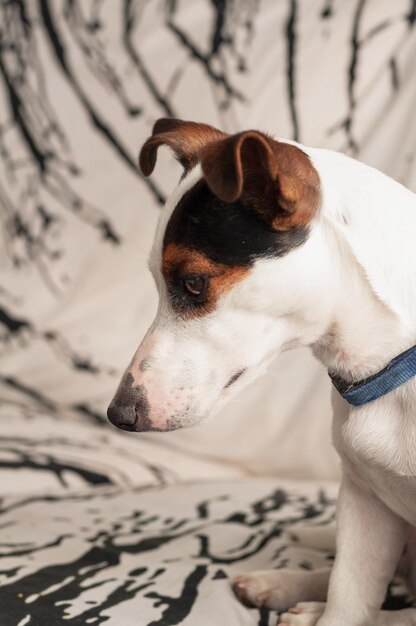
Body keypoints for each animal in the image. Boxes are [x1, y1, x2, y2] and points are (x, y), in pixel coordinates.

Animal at [107, 118, 416, 624]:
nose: (117, 415)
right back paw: (281, 586)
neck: (384, 369)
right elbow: (347, 599)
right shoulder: (365, 501)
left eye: (194, 283)